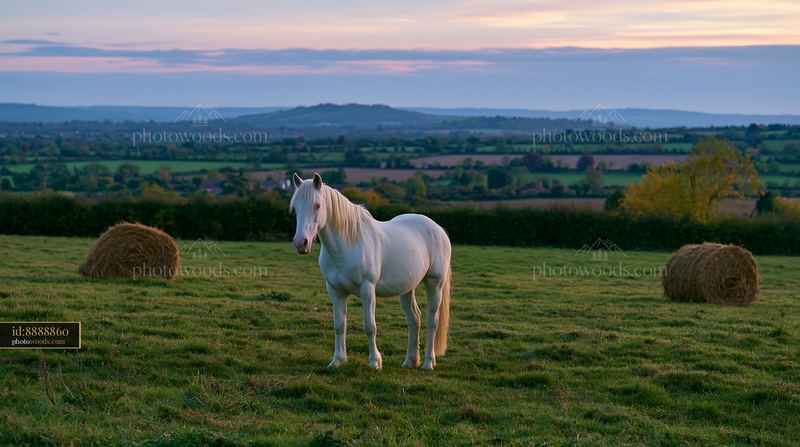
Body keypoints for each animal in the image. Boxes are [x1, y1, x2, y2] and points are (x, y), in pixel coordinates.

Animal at [290, 173, 452, 370]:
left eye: (317, 205)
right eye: (295, 207)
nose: (301, 243)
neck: (347, 243)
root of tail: (438, 229)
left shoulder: (367, 289)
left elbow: (369, 326)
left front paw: (375, 361)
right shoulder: (335, 290)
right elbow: (339, 324)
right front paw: (337, 360)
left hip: (435, 283)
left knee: (432, 321)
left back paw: (428, 363)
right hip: (407, 288)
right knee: (414, 319)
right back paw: (410, 361)